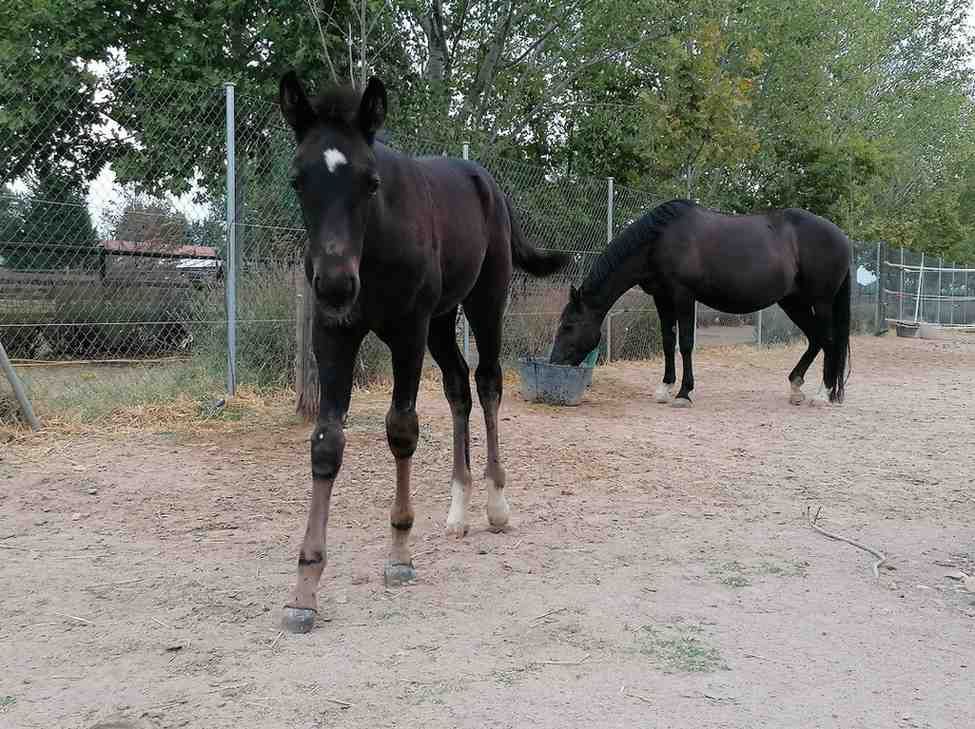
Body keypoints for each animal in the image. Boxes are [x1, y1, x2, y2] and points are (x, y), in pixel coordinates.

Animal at [277, 71, 570, 633]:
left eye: (370, 182)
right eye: (298, 180)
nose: (336, 285)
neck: (372, 248)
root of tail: (491, 186)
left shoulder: (407, 332)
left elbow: (401, 428)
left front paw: (399, 554)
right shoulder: (334, 333)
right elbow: (326, 441)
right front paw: (304, 590)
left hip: (483, 302)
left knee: (488, 382)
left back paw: (496, 505)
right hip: (441, 320)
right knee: (458, 388)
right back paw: (457, 513)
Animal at [549, 199, 851, 406]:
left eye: (567, 326)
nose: (555, 363)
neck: (659, 241)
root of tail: (842, 237)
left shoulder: (683, 295)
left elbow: (685, 343)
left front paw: (684, 393)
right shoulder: (662, 297)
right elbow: (668, 341)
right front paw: (665, 388)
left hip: (822, 302)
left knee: (829, 340)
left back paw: (822, 395)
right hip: (792, 302)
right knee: (815, 339)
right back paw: (796, 388)